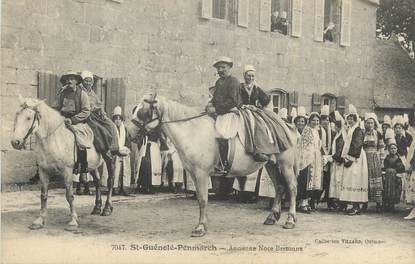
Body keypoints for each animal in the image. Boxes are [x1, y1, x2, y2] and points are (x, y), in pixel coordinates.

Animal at [10, 96, 116, 230]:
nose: (15, 142)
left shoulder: (67, 171)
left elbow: (69, 196)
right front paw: (40, 220)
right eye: (17, 115)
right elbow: (43, 195)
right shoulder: (43, 171)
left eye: (29, 118)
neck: (53, 139)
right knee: (97, 182)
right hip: (92, 165)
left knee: (110, 180)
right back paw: (97, 207)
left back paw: (107, 208)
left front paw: (73, 221)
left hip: (109, 158)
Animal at [127, 94, 300, 237]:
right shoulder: (193, 174)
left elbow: (203, 199)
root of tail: (288, 126)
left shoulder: (201, 174)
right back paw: (272, 217)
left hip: (286, 165)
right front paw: (203, 224)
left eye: (142, 111)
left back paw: (290, 220)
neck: (192, 130)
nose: (129, 133)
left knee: (292, 188)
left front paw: (200, 227)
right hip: (271, 165)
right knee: (279, 187)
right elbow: (199, 198)